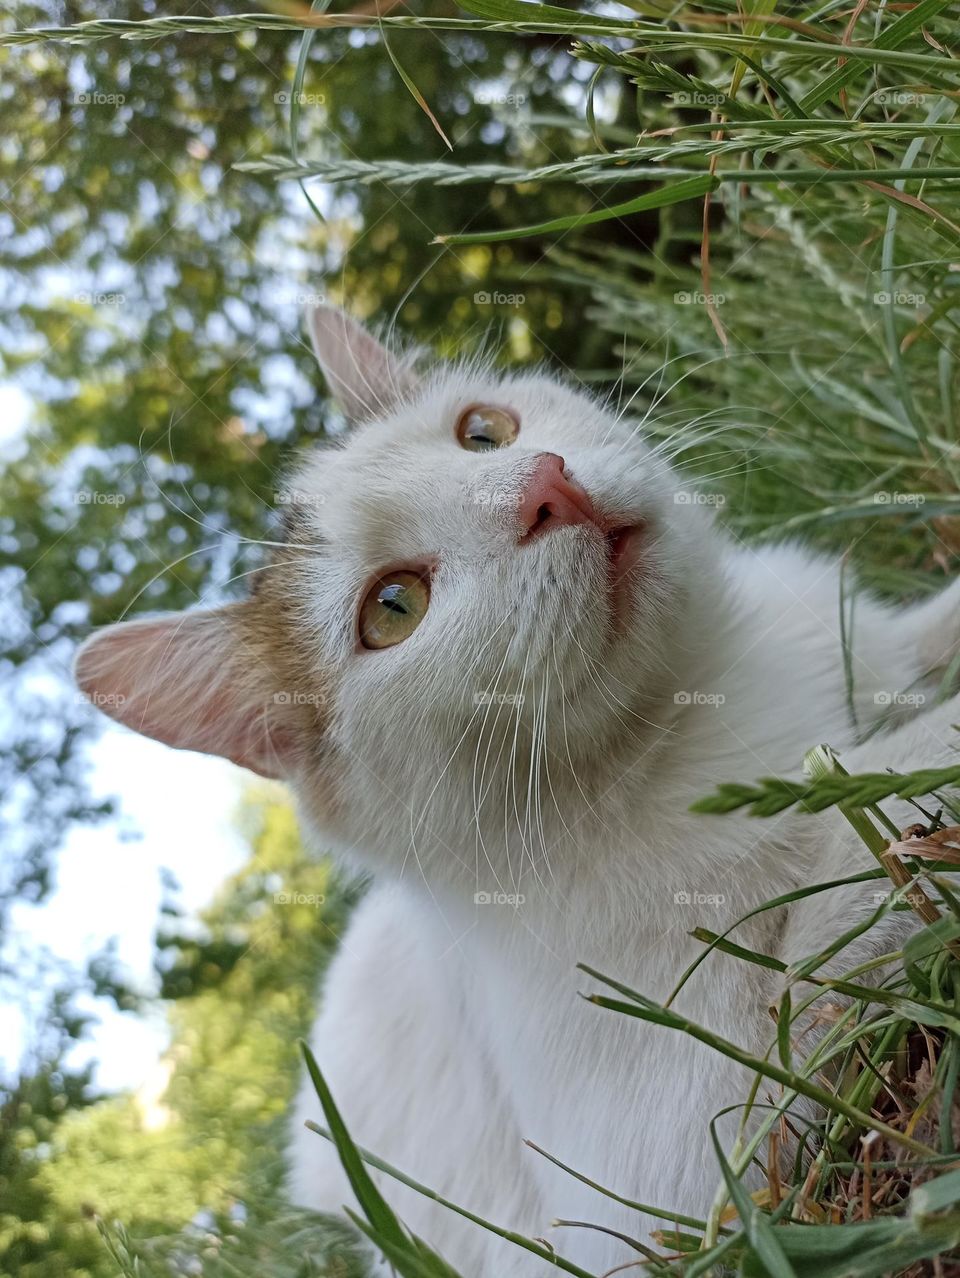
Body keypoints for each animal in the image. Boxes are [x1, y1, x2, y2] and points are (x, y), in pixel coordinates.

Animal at [77, 304, 960, 1272]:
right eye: (393, 607)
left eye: (483, 431)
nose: (546, 485)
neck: (698, 693)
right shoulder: (669, 1176)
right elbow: (837, 882)